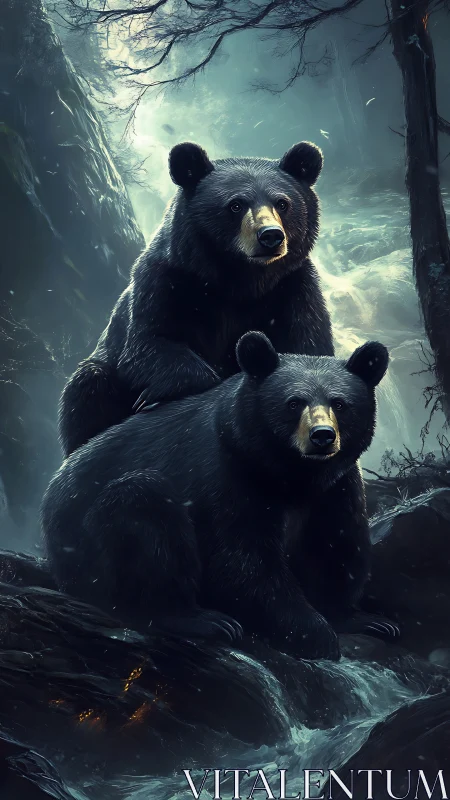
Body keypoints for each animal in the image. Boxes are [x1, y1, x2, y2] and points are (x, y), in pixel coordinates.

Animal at [42, 331, 393, 662]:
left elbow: (336, 543)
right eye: (294, 403)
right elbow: (242, 559)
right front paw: (316, 634)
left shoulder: (336, 487)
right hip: (88, 548)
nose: (322, 436)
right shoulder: (226, 471)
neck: (292, 474)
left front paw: (364, 620)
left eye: (340, 403)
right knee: (142, 508)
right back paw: (200, 619)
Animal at [59, 140, 334, 457]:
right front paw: (153, 397)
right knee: (87, 386)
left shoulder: (294, 288)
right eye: (235, 204)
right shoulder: (165, 279)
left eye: (282, 203)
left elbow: (310, 346)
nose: (270, 236)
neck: (240, 281)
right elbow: (150, 342)